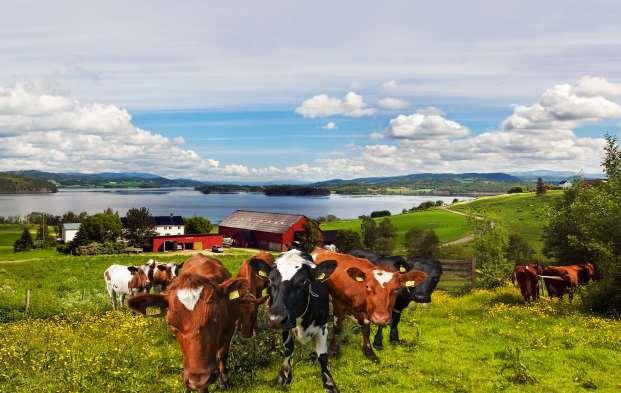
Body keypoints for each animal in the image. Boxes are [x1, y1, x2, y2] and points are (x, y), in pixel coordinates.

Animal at [128, 253, 254, 390]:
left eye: (217, 316)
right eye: (171, 324)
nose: (198, 379)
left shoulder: (229, 328)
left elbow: (222, 354)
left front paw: (224, 380)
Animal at [248, 250, 340, 392]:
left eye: (304, 281)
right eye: (269, 280)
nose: (275, 319)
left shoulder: (322, 324)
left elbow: (323, 356)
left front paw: (329, 384)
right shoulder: (286, 325)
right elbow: (288, 349)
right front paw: (285, 375)